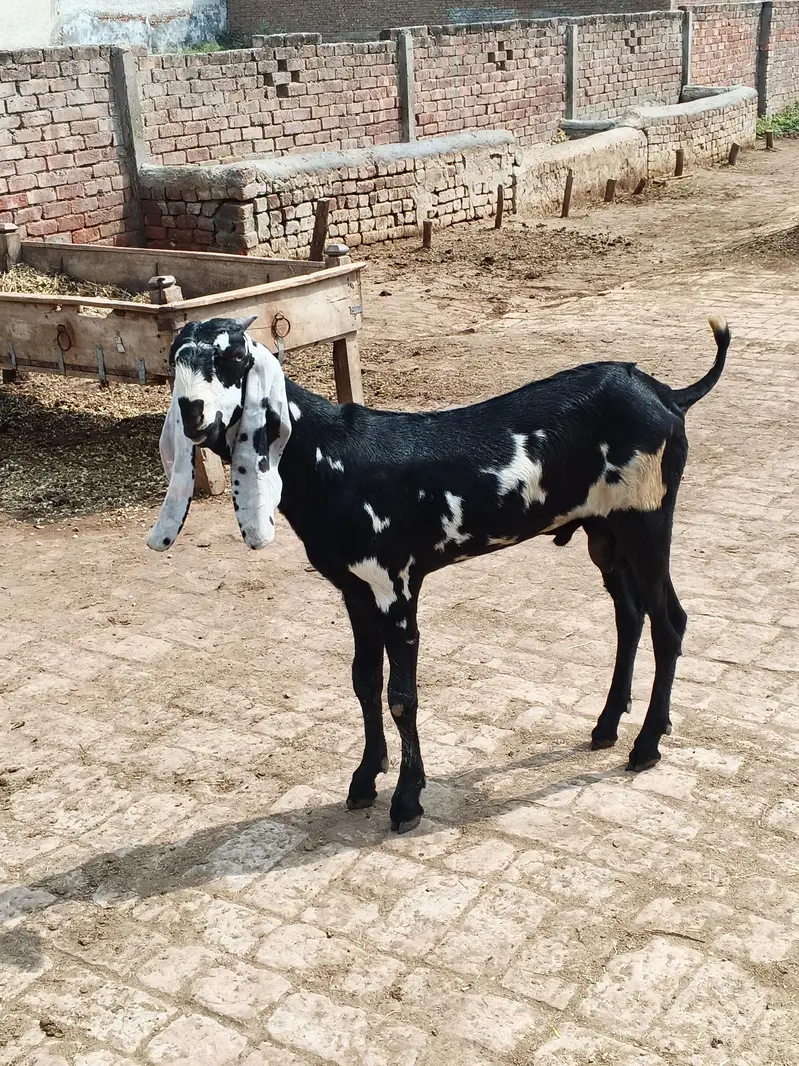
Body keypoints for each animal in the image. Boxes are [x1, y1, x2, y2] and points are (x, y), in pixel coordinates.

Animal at [148, 314, 729, 832]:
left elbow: (402, 697)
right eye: (174, 361)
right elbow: (364, 681)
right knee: (630, 615)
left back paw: (646, 744)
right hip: (605, 533)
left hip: (647, 520)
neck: (329, 458)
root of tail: (667, 395)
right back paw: (609, 725)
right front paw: (365, 778)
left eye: (234, 359)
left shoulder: (397, 585)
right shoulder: (355, 591)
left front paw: (407, 800)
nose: (193, 411)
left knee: (669, 622)